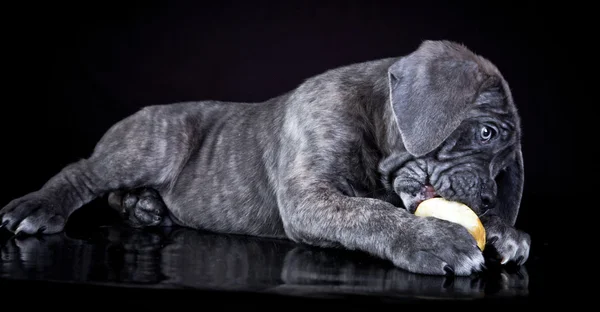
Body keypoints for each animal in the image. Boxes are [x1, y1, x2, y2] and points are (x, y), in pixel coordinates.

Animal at [0, 40, 528, 276]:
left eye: (505, 172)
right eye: (486, 132)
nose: (486, 200)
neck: (376, 118)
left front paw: (504, 231)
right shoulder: (308, 198)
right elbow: (369, 212)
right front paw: (434, 239)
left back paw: (145, 207)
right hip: (155, 143)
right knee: (84, 173)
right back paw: (41, 206)